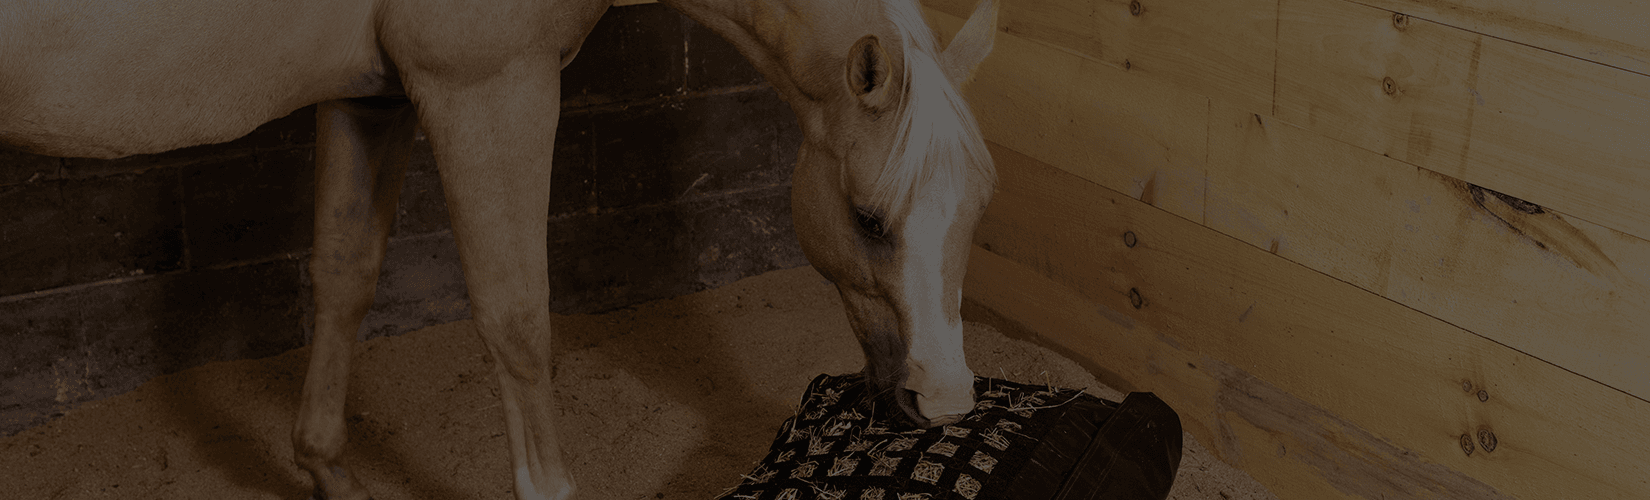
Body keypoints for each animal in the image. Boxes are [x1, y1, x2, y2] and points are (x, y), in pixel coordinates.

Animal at [0, 0, 1000, 498]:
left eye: (978, 209)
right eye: (868, 217)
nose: (944, 399)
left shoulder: (370, 97)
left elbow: (344, 276)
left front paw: (327, 469)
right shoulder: (486, 89)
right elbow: (517, 322)